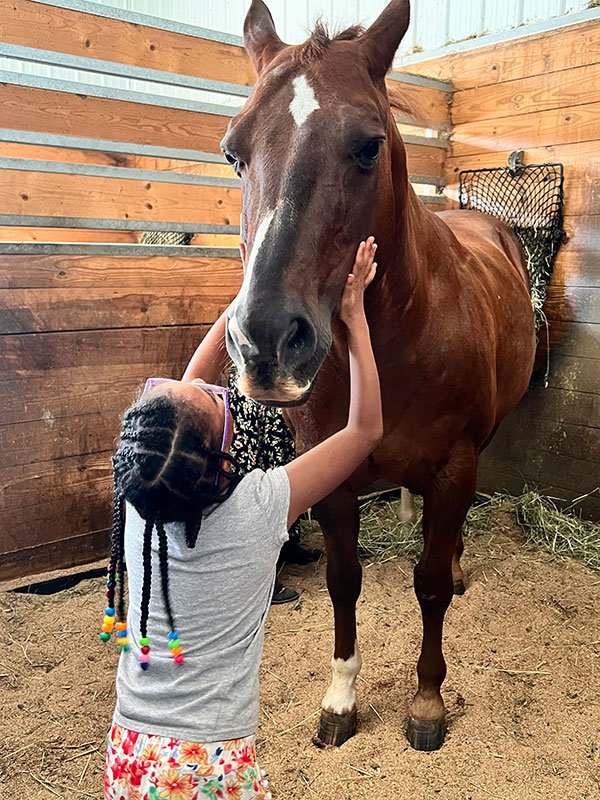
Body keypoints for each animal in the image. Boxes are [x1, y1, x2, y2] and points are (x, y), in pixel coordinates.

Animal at [222, 0, 536, 751]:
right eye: (233, 151)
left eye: (367, 146)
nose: (265, 342)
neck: (396, 341)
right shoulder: (330, 478)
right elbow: (344, 580)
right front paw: (340, 699)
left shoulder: (454, 467)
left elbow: (428, 585)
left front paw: (427, 702)